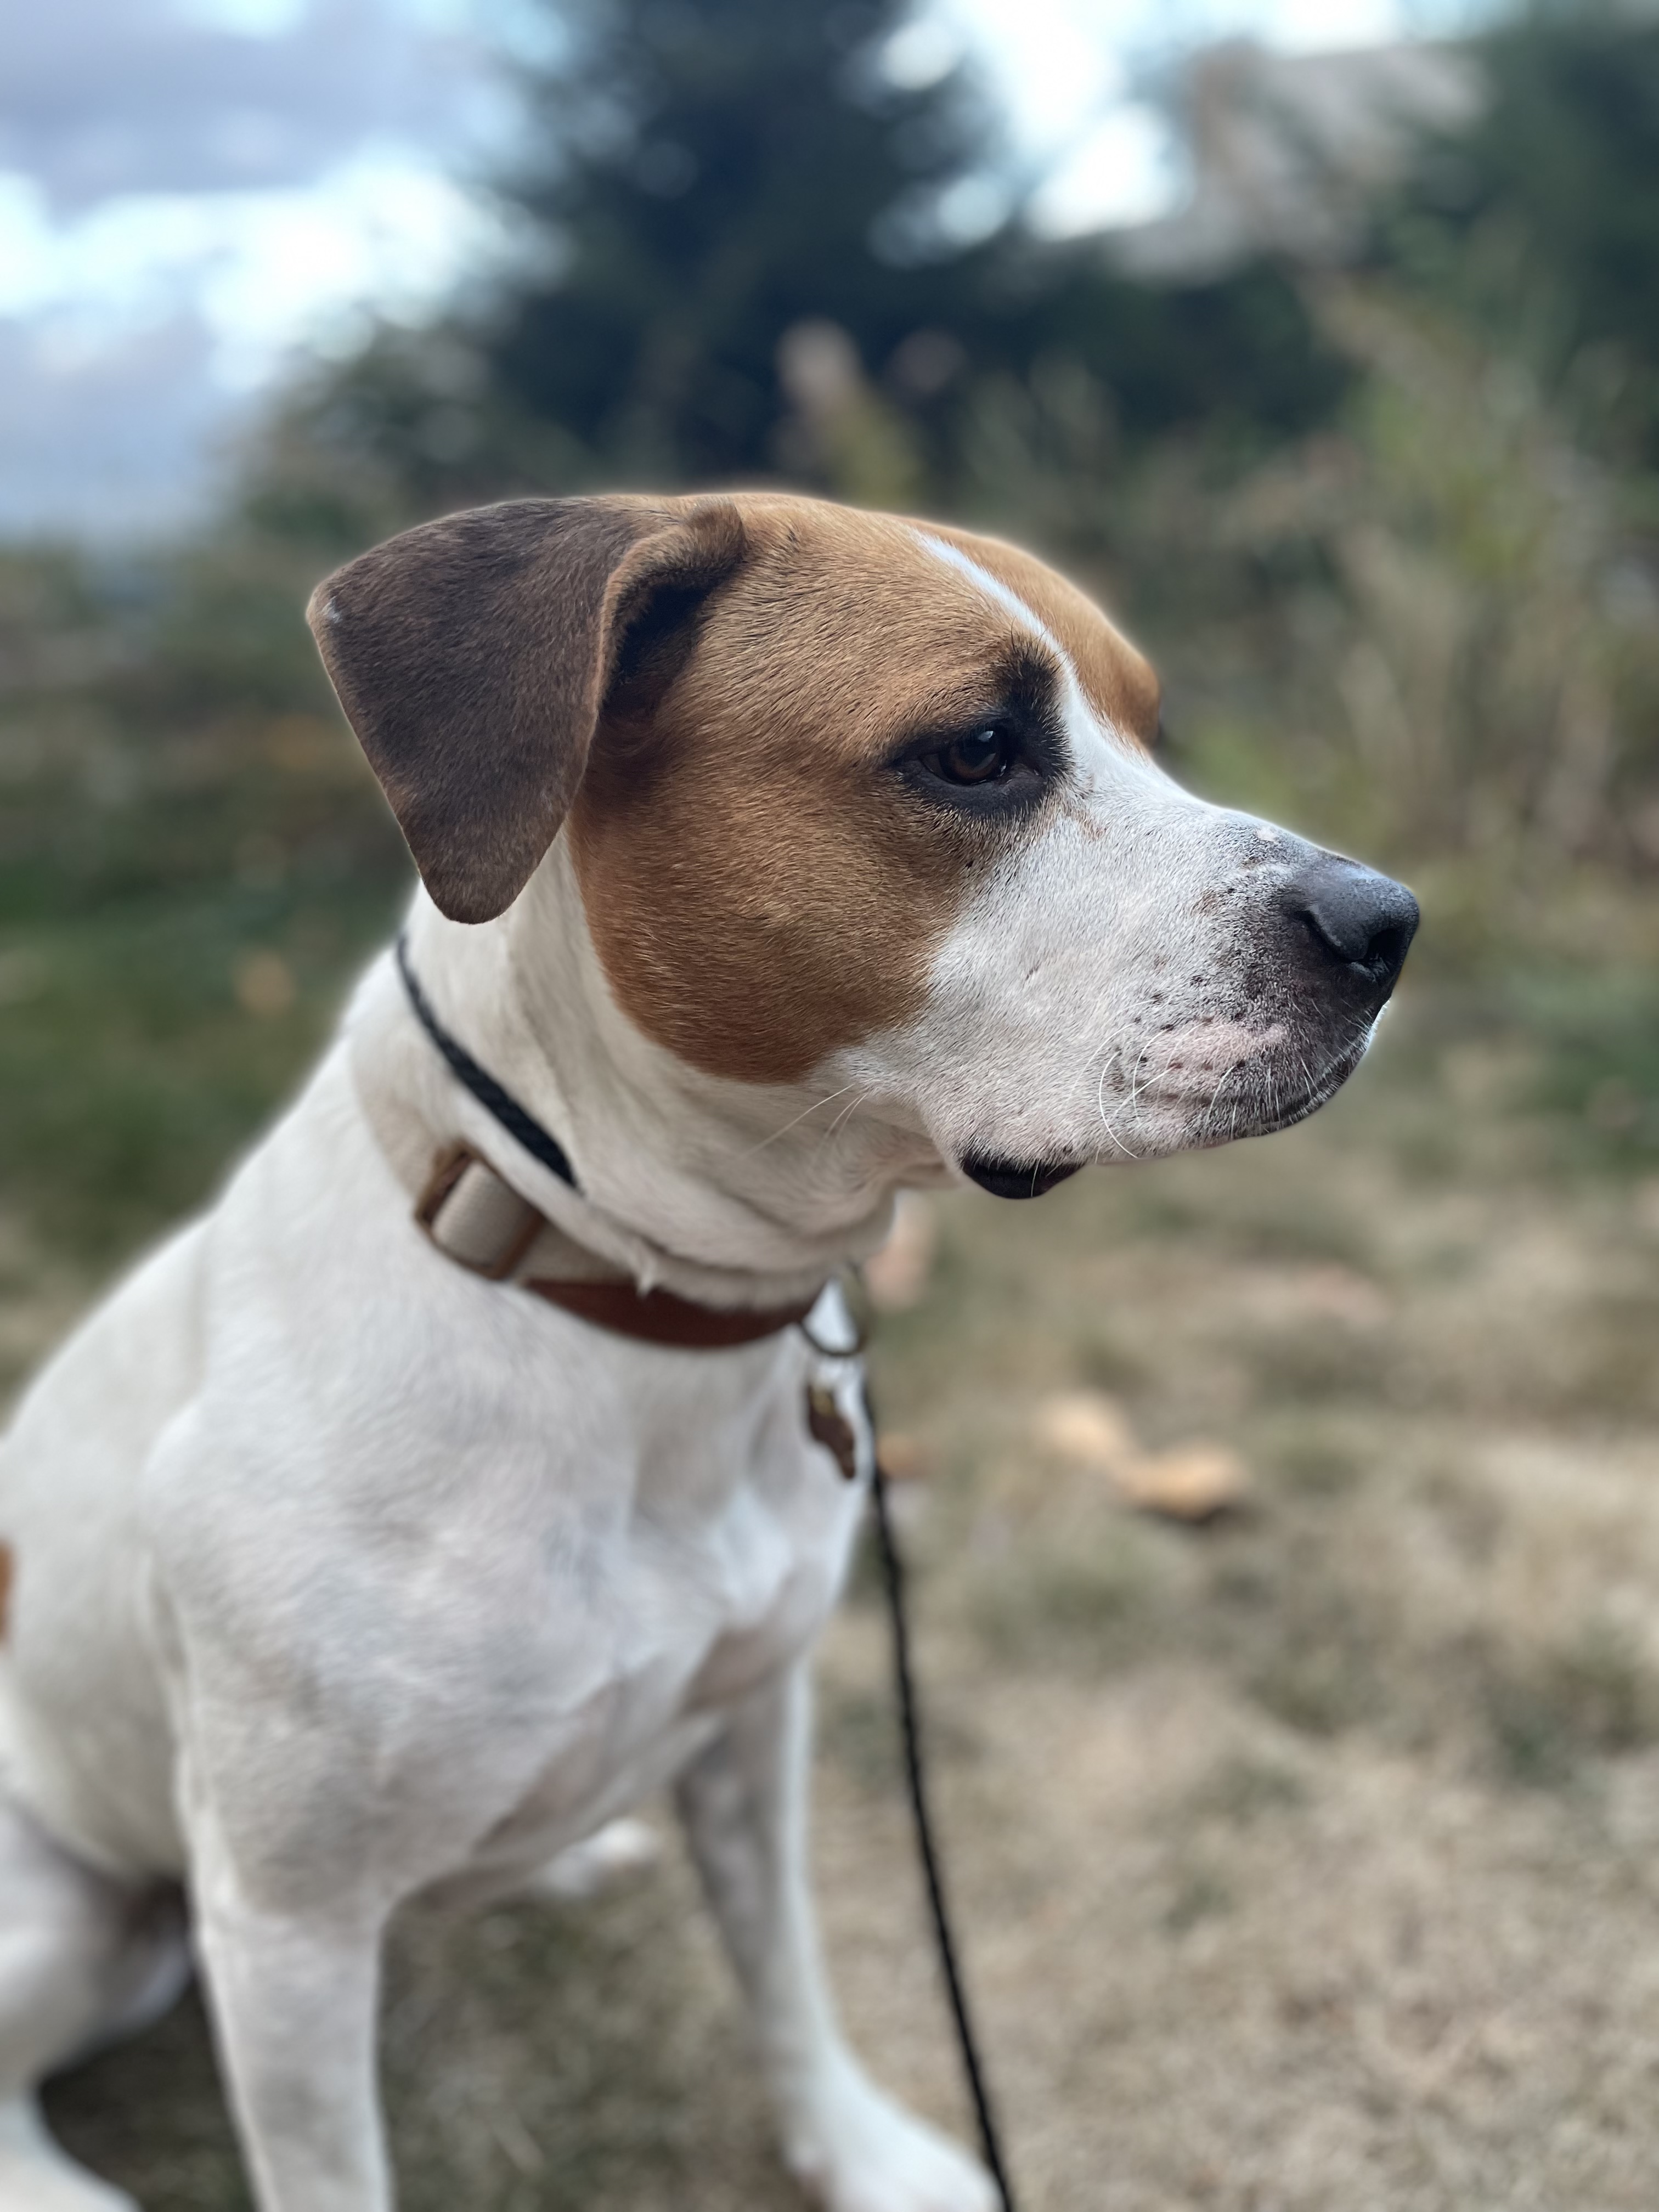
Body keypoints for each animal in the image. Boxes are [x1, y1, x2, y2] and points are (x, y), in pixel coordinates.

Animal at [0, 492, 1416, 2211]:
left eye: (1153, 728)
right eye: (975, 751)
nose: (1387, 923)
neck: (625, 1300)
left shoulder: (753, 1734)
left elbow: (786, 1975)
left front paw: (859, 2154)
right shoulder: (287, 1930)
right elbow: (332, 2169)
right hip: (73, 1920)